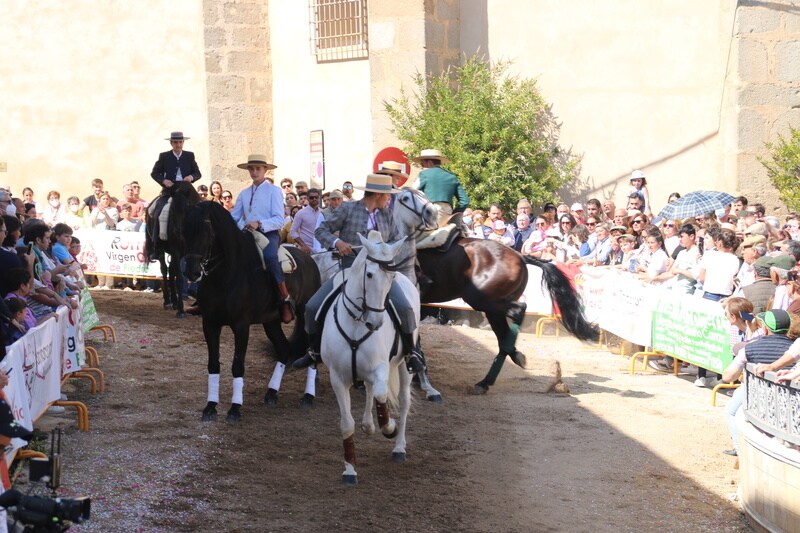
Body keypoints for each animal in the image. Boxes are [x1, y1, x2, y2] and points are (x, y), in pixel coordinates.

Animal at [142, 181, 197, 318]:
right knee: (164, 269)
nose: (178, 232)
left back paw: (174, 301)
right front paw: (181, 310)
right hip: (162, 250)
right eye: (173, 208)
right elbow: (180, 279)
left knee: (171, 271)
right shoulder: (176, 251)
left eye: (187, 207)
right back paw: (167, 301)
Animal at [184, 202, 322, 422]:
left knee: (312, 350)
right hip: (271, 321)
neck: (227, 274)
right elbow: (213, 364)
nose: (192, 272)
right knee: (283, 349)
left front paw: (234, 409)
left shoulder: (241, 326)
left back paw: (308, 397)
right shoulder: (210, 324)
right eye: (184, 230)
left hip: (306, 318)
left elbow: (237, 365)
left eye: (206, 231)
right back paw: (271, 393)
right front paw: (210, 407)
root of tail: (310, 260)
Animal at [320, 231, 418, 484]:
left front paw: (389, 427)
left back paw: (399, 447)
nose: (375, 323)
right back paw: (369, 425)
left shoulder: (381, 367)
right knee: (370, 389)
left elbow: (382, 394)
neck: (357, 323)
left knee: (403, 400)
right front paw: (349, 470)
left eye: (390, 277)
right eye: (370, 274)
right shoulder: (337, 378)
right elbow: (347, 424)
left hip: (404, 365)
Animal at [416, 235, 596, 392]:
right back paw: (491, 377)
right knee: (504, 336)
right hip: (492, 308)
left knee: (518, 311)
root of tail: (519, 255)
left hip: (480, 299)